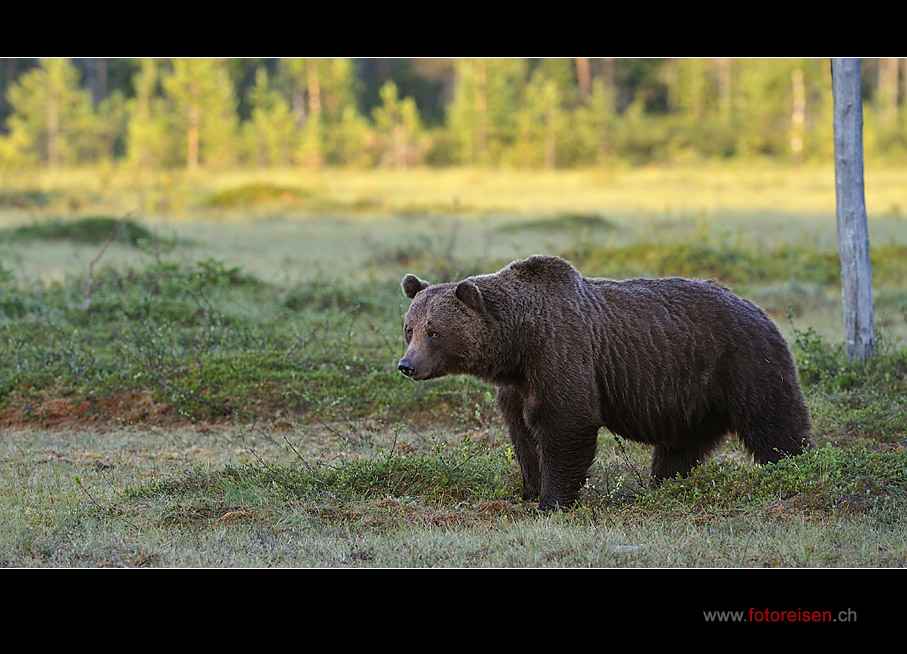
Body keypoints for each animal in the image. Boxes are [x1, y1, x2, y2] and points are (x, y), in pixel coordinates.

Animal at [400, 256, 812, 512]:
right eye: (409, 328)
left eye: (434, 331)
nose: (407, 365)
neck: (519, 344)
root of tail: (759, 310)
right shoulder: (518, 385)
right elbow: (522, 434)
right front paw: (529, 490)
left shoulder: (562, 352)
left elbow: (567, 422)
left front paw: (551, 502)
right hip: (694, 396)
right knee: (679, 447)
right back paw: (662, 485)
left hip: (745, 363)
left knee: (776, 426)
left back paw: (795, 469)